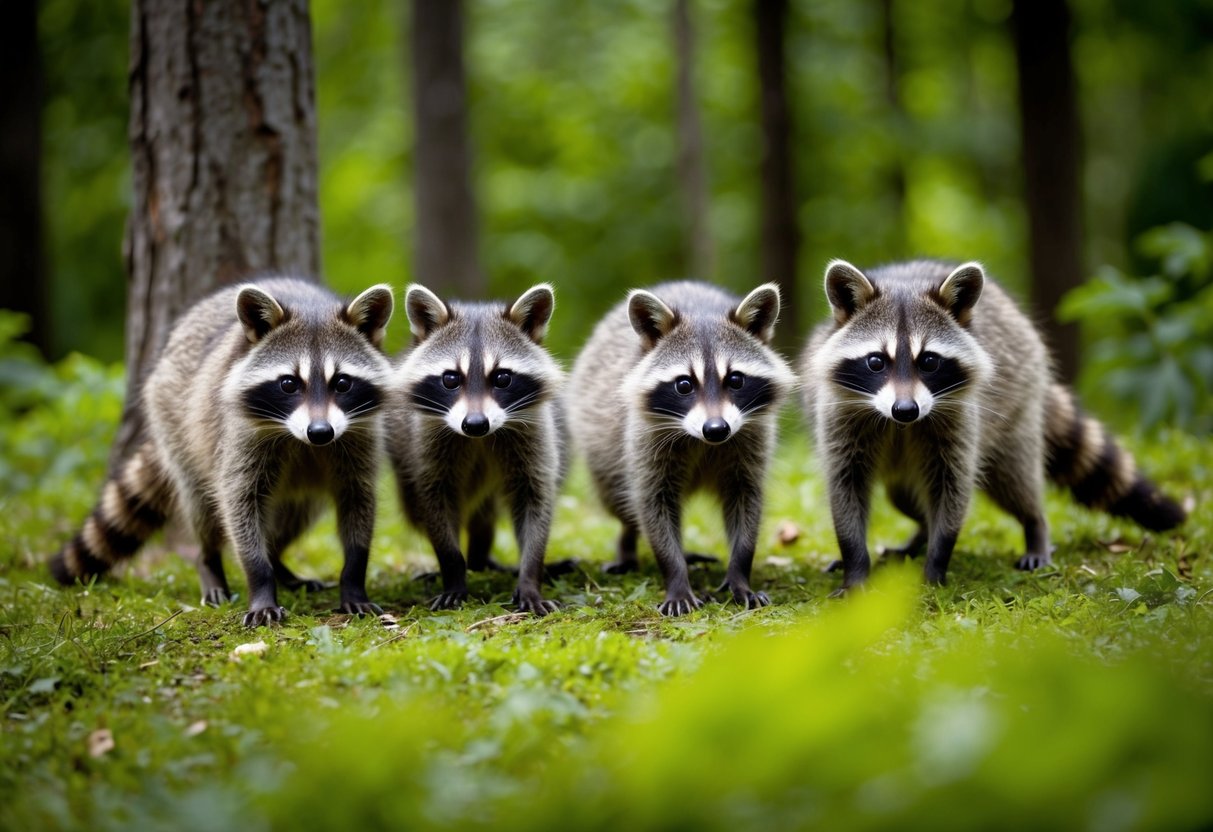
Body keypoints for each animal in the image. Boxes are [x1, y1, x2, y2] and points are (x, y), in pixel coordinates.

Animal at [50, 278, 395, 627]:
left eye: (342, 383)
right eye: (288, 384)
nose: (321, 432)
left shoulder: (360, 440)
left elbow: (358, 502)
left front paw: (353, 580)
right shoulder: (238, 438)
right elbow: (238, 504)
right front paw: (260, 581)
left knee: (298, 512)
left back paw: (278, 561)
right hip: (173, 423)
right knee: (202, 509)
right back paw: (210, 562)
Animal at [387, 283, 566, 615]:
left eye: (502, 377)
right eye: (450, 378)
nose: (475, 424)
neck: (480, 438)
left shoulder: (534, 435)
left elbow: (536, 502)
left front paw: (530, 576)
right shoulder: (427, 446)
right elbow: (435, 504)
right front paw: (453, 572)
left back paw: (482, 559)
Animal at [568, 281, 796, 616]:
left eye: (736, 380)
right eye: (684, 384)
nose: (716, 429)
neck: (702, 441)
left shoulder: (751, 439)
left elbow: (746, 501)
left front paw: (740, 574)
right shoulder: (644, 441)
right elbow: (652, 505)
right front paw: (675, 575)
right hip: (601, 446)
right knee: (621, 503)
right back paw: (628, 546)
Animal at [801, 258, 1186, 591]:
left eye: (929, 361)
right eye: (876, 362)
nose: (906, 410)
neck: (899, 426)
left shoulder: (961, 418)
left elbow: (952, 490)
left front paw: (936, 562)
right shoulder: (838, 417)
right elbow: (845, 490)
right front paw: (855, 566)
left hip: (1017, 411)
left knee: (1016, 481)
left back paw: (1034, 526)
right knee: (907, 499)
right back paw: (919, 534)